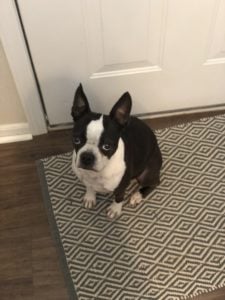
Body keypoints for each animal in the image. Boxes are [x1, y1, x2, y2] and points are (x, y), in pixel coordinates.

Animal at [71, 84, 161, 218]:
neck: (97, 173)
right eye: (76, 140)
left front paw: (115, 209)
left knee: (154, 182)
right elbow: (89, 187)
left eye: (107, 146)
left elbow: (119, 198)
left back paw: (137, 195)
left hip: (147, 172)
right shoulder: (86, 180)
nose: (87, 157)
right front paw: (90, 197)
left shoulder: (121, 187)